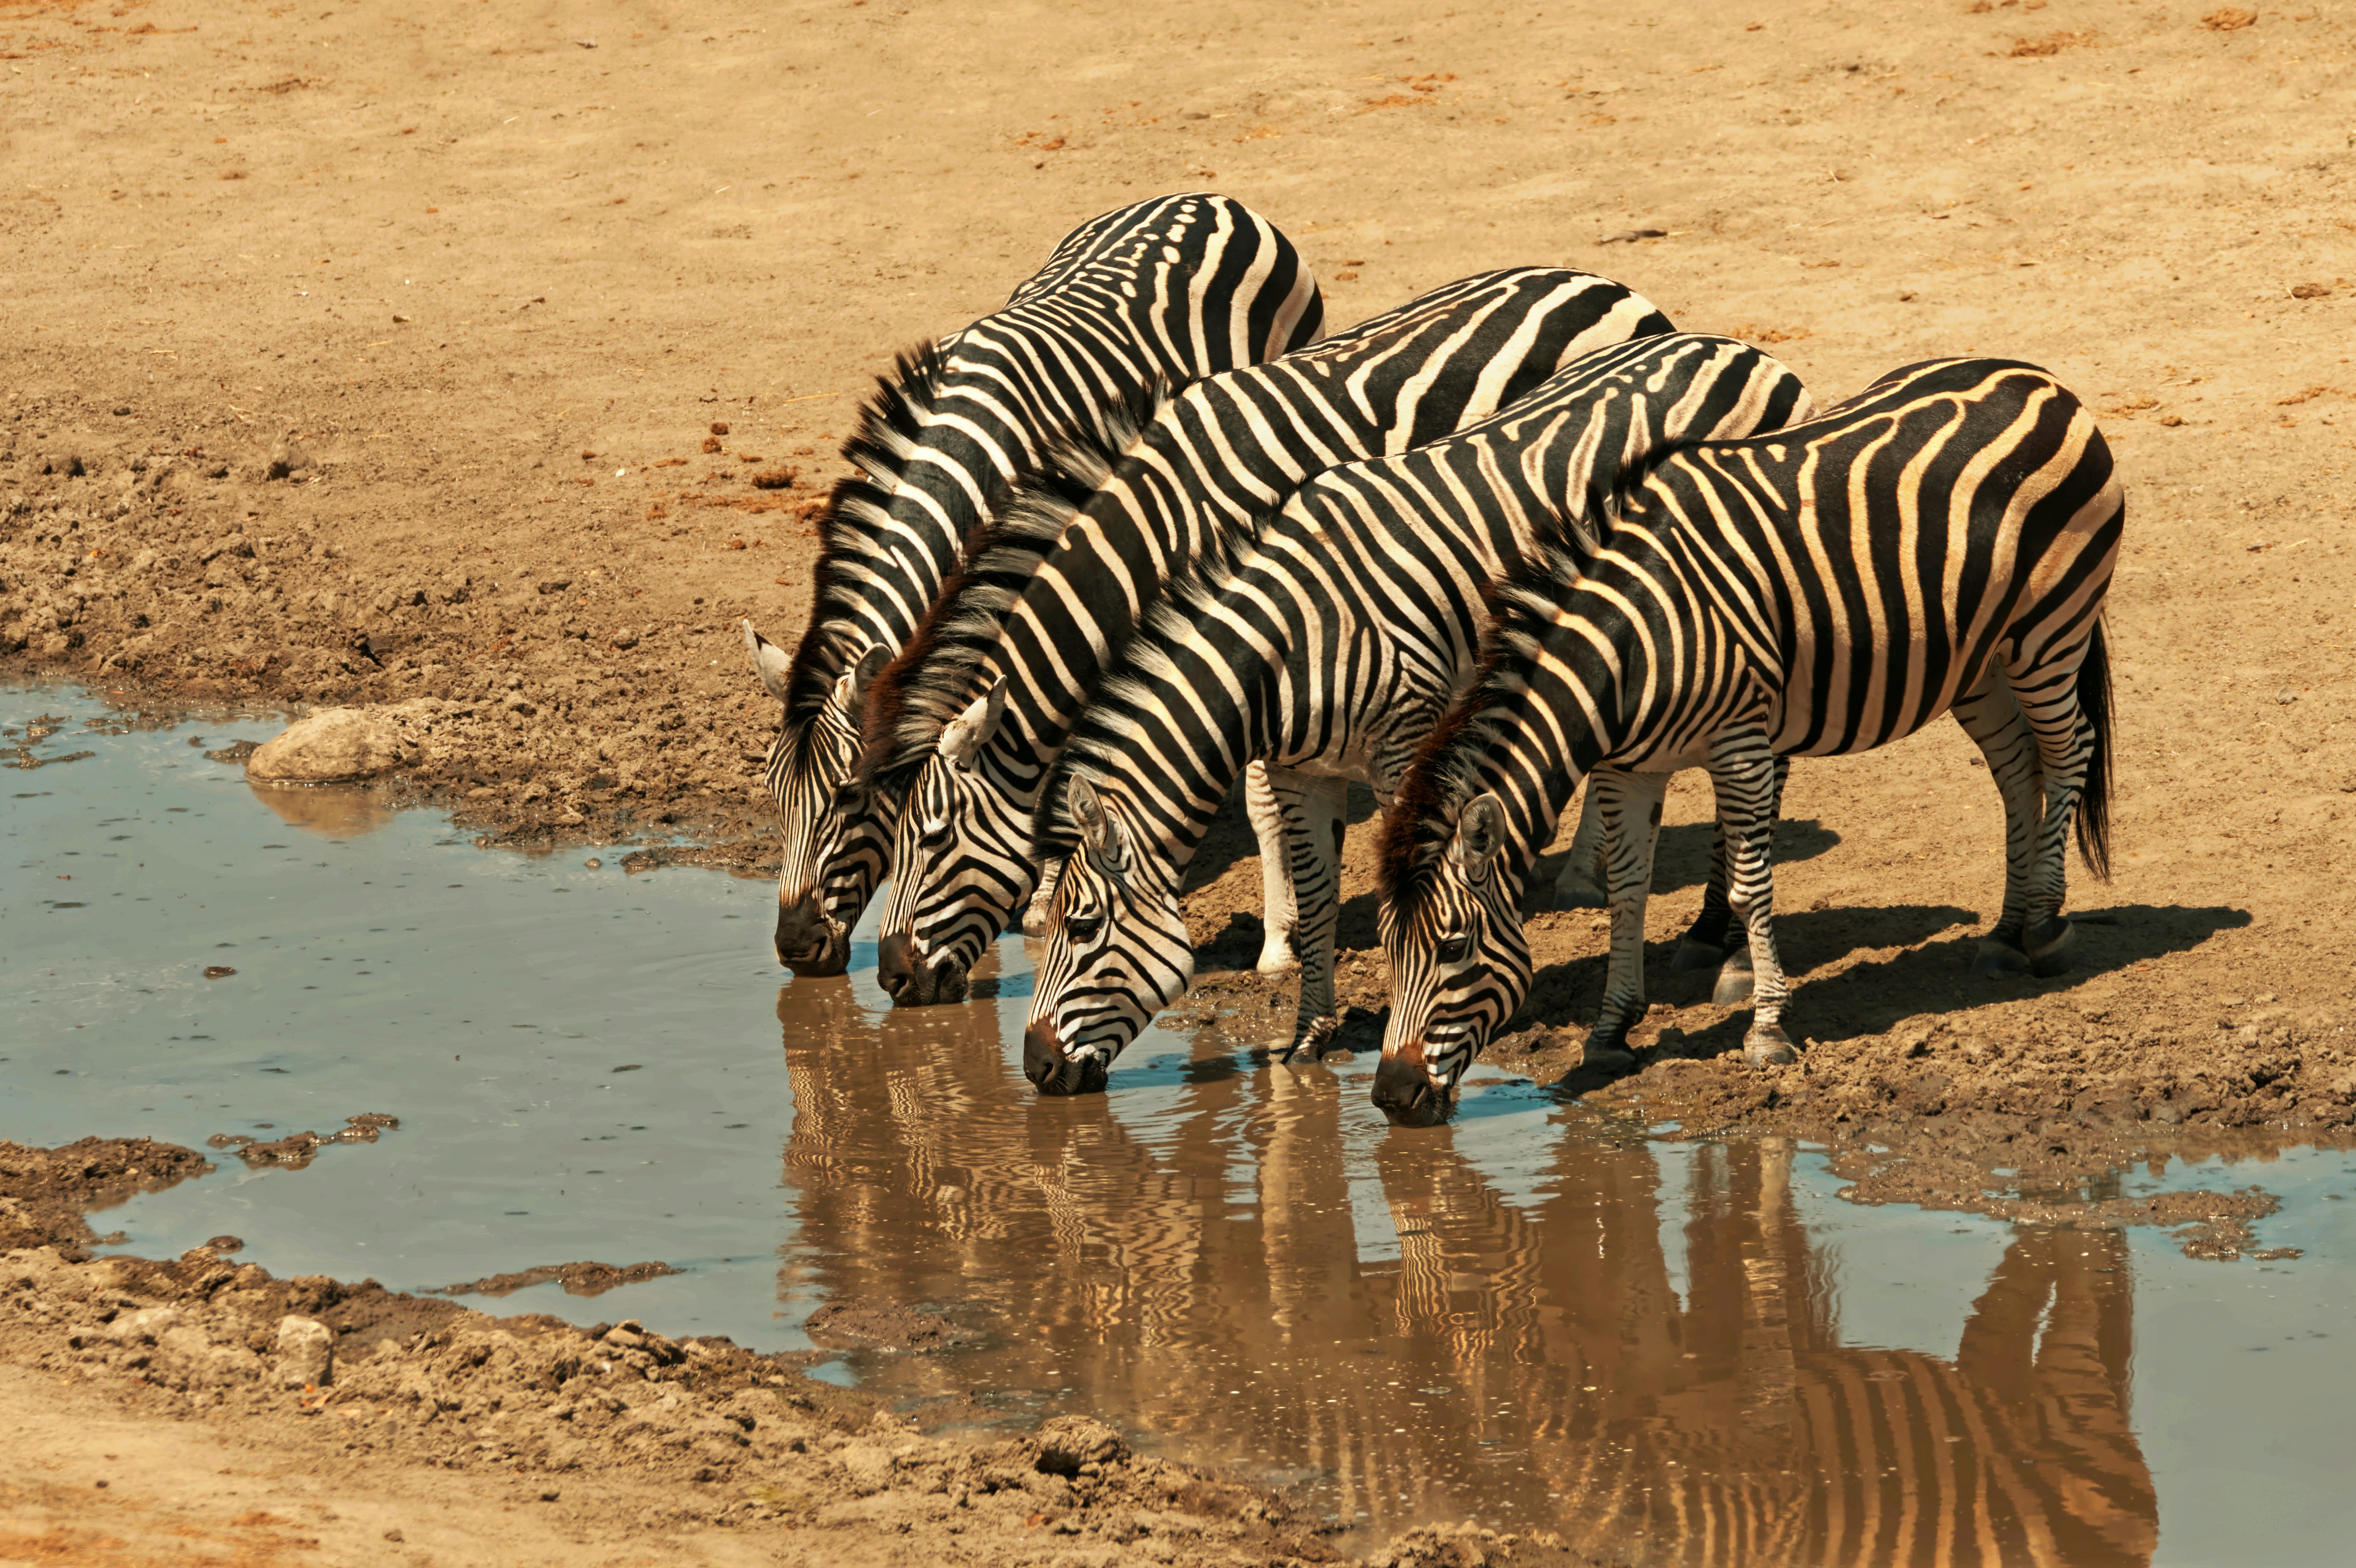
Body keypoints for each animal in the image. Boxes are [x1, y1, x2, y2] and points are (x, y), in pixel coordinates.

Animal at [740, 193, 1322, 975]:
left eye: (848, 798)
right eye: (774, 796)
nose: (798, 950)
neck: (959, 471)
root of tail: (1208, 199)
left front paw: (1043, 898)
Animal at [845, 268, 1678, 1012]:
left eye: (930, 838)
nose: (893, 981)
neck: (1163, 530)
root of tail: (1606, 286)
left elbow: (1255, 798)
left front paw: (1277, 942)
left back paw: (1579, 873)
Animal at [1019, 334, 1815, 1094]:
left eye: (1081, 926)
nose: (1035, 1071)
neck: (1291, 643)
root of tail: (1747, 351)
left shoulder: (1404, 741)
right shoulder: (1304, 771)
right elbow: (1318, 896)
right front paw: (1309, 1039)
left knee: (1768, 769)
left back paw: (1721, 942)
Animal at [1372, 357, 2121, 1124]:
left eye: (1454, 947)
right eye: (1388, 948)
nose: (1389, 1097)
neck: (1628, 647)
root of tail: (2033, 377)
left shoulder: (1739, 745)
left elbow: (1750, 886)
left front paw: (1766, 1030)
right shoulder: (1626, 770)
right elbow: (1629, 891)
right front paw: (1610, 1034)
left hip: (2048, 630)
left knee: (2068, 751)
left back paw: (2044, 927)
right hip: (1977, 660)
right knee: (2016, 769)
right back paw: (2003, 934)